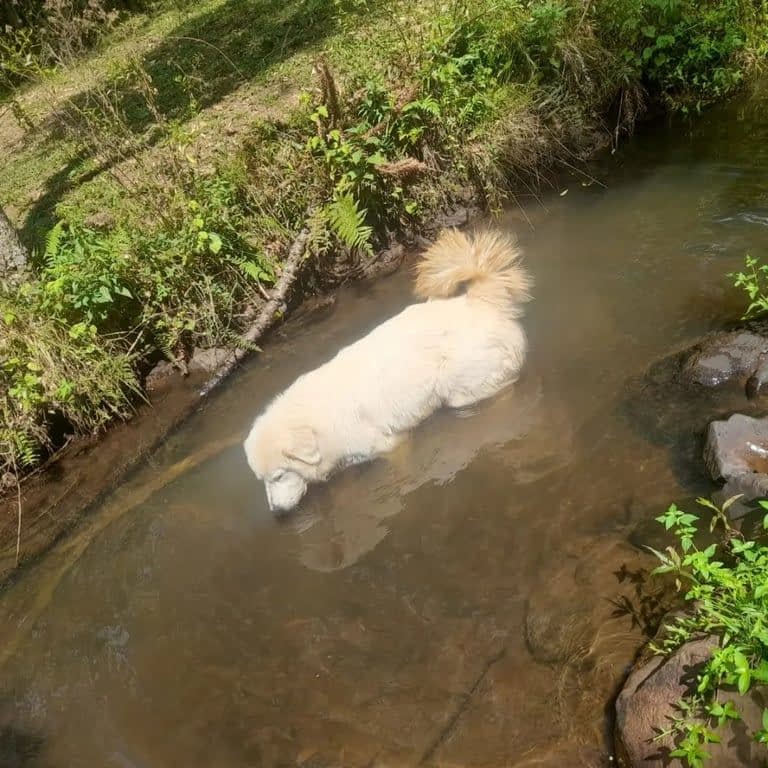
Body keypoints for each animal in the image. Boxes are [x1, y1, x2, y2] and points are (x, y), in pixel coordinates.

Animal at [243, 231, 532, 512]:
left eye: (279, 475)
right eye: (263, 479)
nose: (277, 512)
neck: (318, 423)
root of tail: (480, 300)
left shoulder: (390, 445)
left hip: (465, 390)